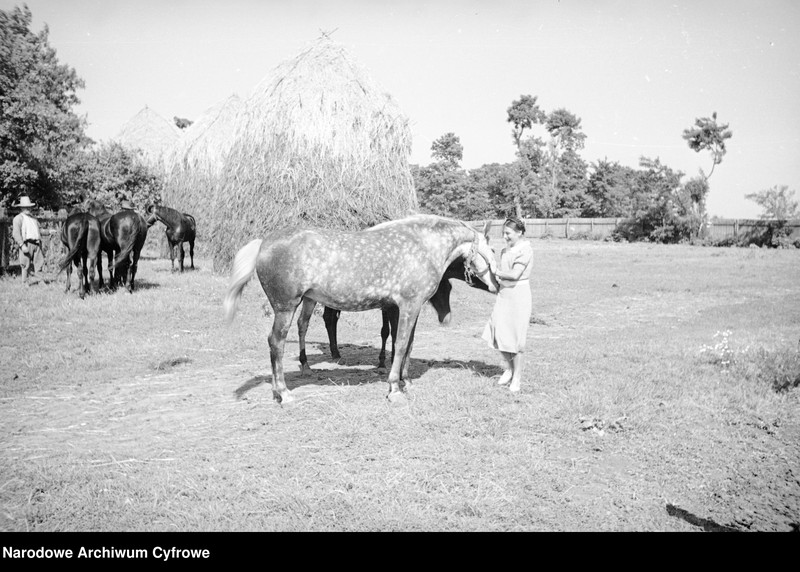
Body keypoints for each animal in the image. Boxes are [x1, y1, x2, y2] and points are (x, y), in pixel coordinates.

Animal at [314, 256, 490, 374]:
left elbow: (399, 334)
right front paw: (388, 361)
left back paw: (335, 353)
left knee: (330, 318)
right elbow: (391, 332)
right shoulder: (392, 307)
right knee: (327, 318)